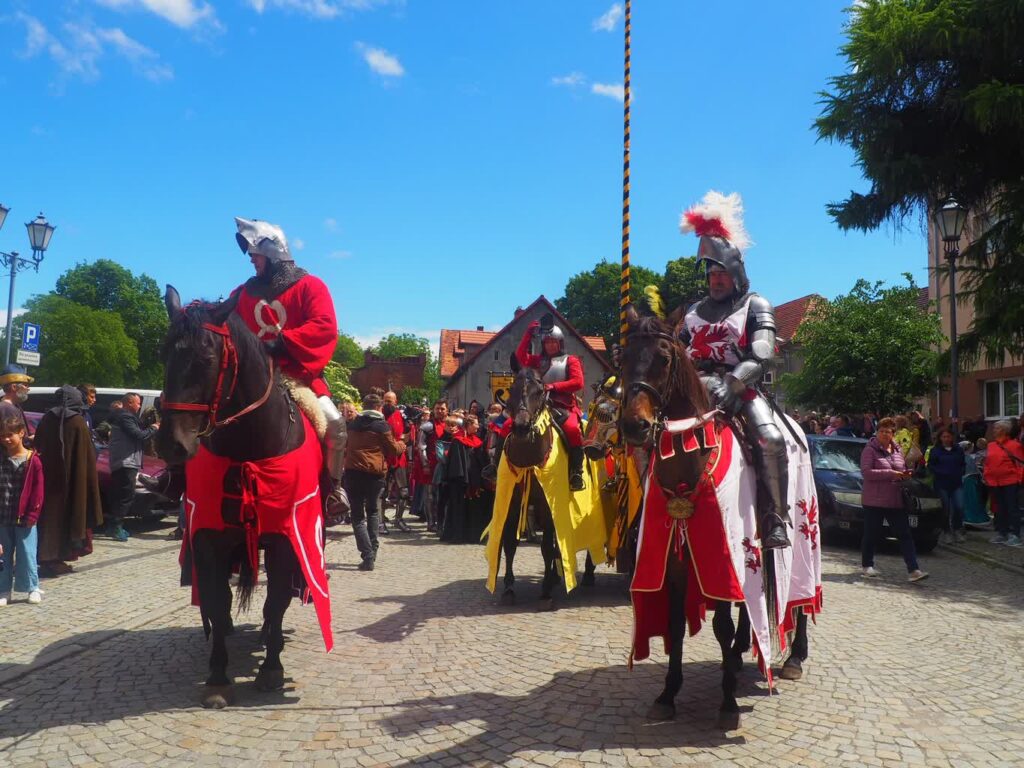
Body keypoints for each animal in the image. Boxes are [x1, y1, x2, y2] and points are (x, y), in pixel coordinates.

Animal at [157, 286, 309, 708]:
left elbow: (276, 599)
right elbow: (215, 598)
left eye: (206, 358)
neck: (248, 452)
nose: (170, 444)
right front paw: (217, 675)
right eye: (163, 354)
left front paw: (271, 668)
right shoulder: (209, 539)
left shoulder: (285, 541)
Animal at [614, 303, 753, 729]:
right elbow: (674, 625)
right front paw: (668, 693)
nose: (635, 426)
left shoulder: (719, 559)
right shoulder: (673, 565)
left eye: (663, 359)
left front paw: (728, 702)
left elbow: (722, 625)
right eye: (623, 359)